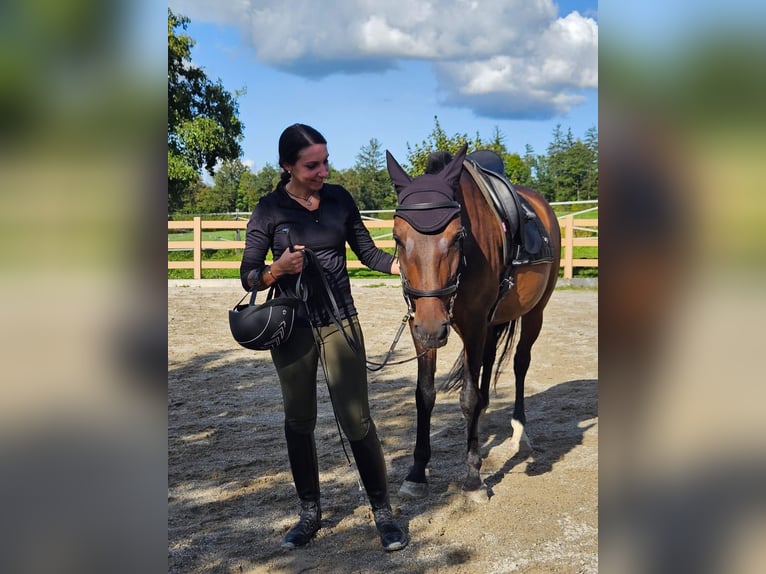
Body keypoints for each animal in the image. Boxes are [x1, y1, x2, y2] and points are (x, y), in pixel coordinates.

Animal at [388, 145, 560, 504]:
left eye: (458, 237)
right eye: (397, 237)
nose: (432, 327)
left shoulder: (475, 324)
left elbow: (467, 397)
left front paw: (473, 477)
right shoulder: (420, 329)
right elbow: (424, 394)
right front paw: (416, 473)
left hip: (534, 312)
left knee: (520, 363)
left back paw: (520, 432)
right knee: (489, 362)